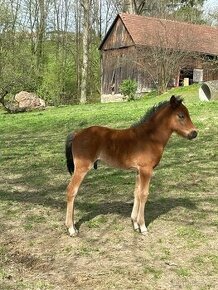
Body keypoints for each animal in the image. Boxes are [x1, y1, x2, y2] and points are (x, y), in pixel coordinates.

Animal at [64, 95, 198, 236]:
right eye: (181, 116)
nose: (194, 133)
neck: (150, 138)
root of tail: (77, 134)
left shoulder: (138, 170)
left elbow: (136, 193)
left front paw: (135, 223)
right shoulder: (146, 170)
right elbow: (144, 194)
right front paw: (143, 227)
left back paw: (74, 226)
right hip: (82, 168)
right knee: (71, 190)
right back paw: (71, 228)